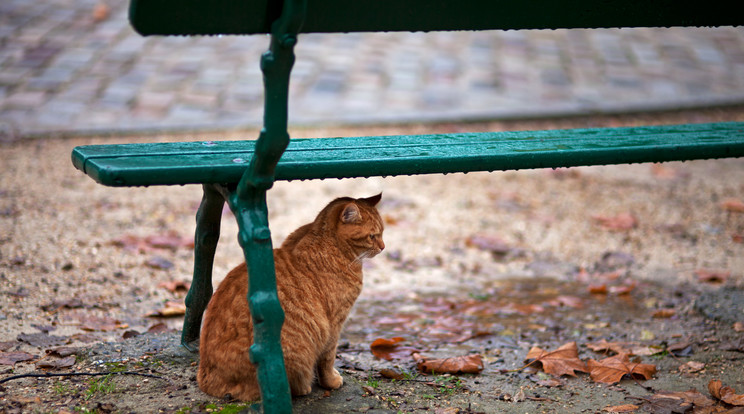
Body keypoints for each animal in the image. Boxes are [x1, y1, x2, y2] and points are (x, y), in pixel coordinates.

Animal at [198, 194, 384, 402]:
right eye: (372, 236)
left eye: (382, 233)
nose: (383, 247)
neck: (330, 244)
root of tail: (207, 380)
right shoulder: (334, 325)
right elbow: (328, 358)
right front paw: (331, 381)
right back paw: (303, 387)